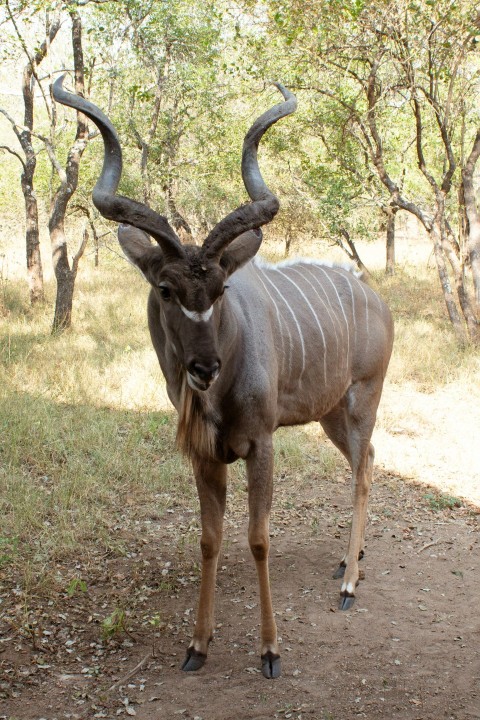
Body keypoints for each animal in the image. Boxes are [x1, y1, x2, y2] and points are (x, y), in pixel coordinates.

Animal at [53, 76, 394, 679]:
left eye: (221, 289)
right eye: (165, 288)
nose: (203, 367)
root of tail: (377, 300)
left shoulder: (260, 444)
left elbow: (257, 539)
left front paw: (270, 649)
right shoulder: (206, 454)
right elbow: (210, 540)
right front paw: (197, 644)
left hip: (362, 399)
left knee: (363, 469)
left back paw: (351, 584)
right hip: (331, 414)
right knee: (367, 460)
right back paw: (347, 561)